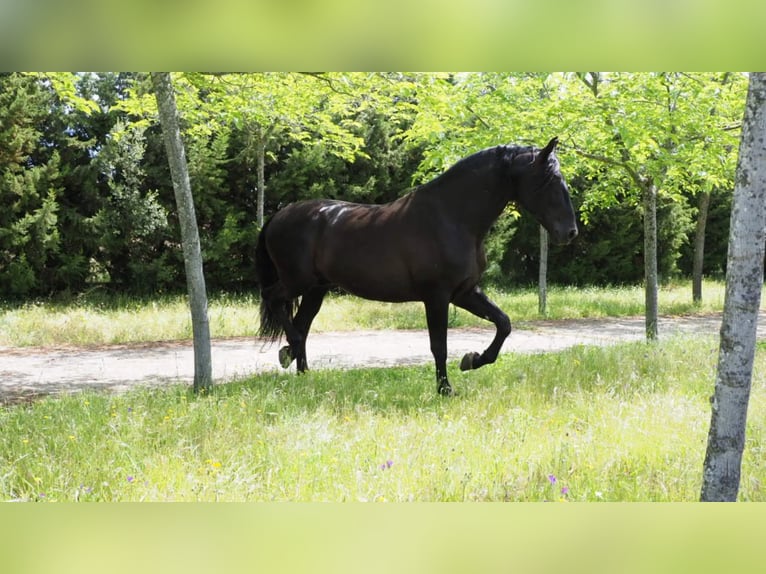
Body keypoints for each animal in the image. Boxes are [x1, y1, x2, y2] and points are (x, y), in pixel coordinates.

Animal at [255, 138, 580, 396]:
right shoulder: (437, 296)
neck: (451, 217)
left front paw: (472, 360)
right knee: (275, 302)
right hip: (297, 281)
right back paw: (290, 352)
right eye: (549, 181)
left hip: (316, 289)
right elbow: (439, 345)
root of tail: (279, 215)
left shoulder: (464, 292)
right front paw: (445, 389)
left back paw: (301, 372)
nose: (570, 232)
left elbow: (504, 323)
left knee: (302, 323)